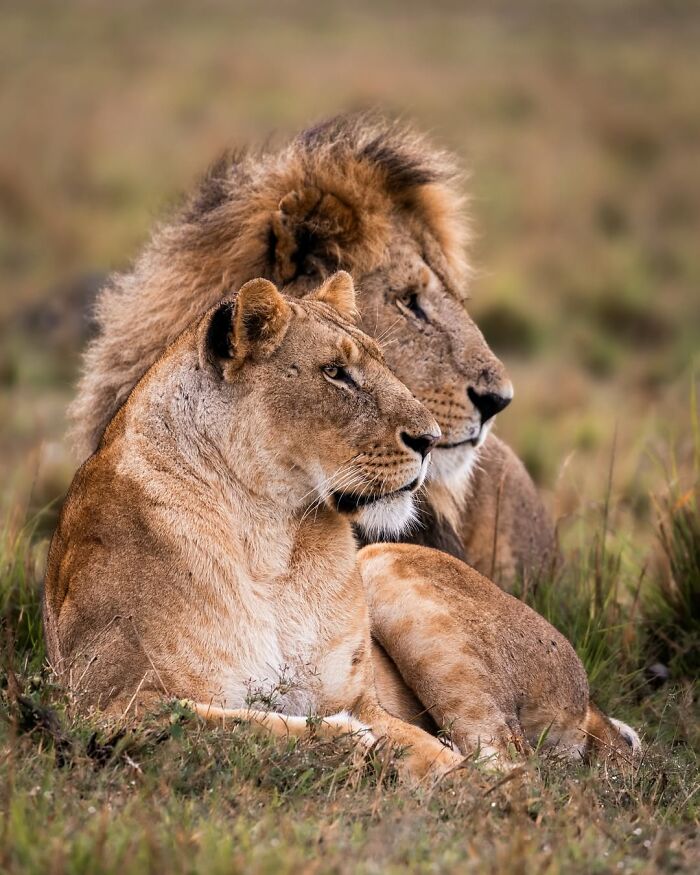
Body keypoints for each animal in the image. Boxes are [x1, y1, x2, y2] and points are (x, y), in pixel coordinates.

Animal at [43, 272, 463, 781]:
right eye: (335, 372)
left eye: (384, 364)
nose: (431, 440)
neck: (273, 536)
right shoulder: (103, 702)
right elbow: (243, 726)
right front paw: (350, 741)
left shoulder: (362, 700)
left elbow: (435, 753)